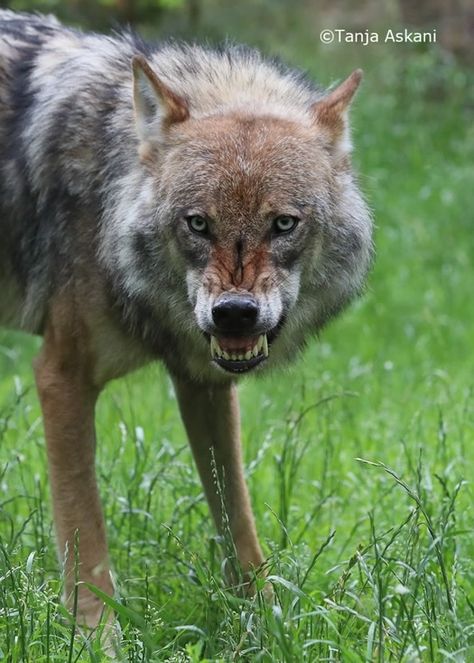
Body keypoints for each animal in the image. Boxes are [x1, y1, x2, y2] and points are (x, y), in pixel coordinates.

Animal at [0, 9, 372, 632]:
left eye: (283, 223)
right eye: (198, 223)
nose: (235, 313)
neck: (109, 189)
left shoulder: (205, 382)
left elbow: (239, 527)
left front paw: (266, 629)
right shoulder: (61, 376)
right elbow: (84, 537)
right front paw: (96, 640)